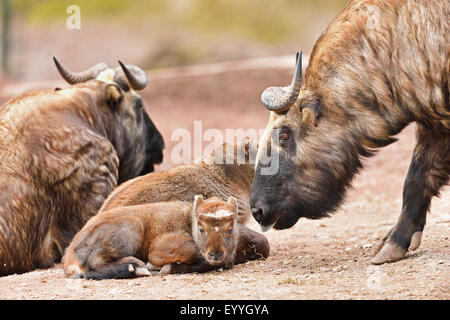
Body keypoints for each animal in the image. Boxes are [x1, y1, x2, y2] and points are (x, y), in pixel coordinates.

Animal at [62, 194, 268, 278]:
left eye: (230, 228)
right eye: (201, 228)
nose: (215, 253)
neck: (188, 219)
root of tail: (69, 257)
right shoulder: (159, 247)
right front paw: (162, 267)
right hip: (132, 228)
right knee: (92, 267)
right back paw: (135, 267)